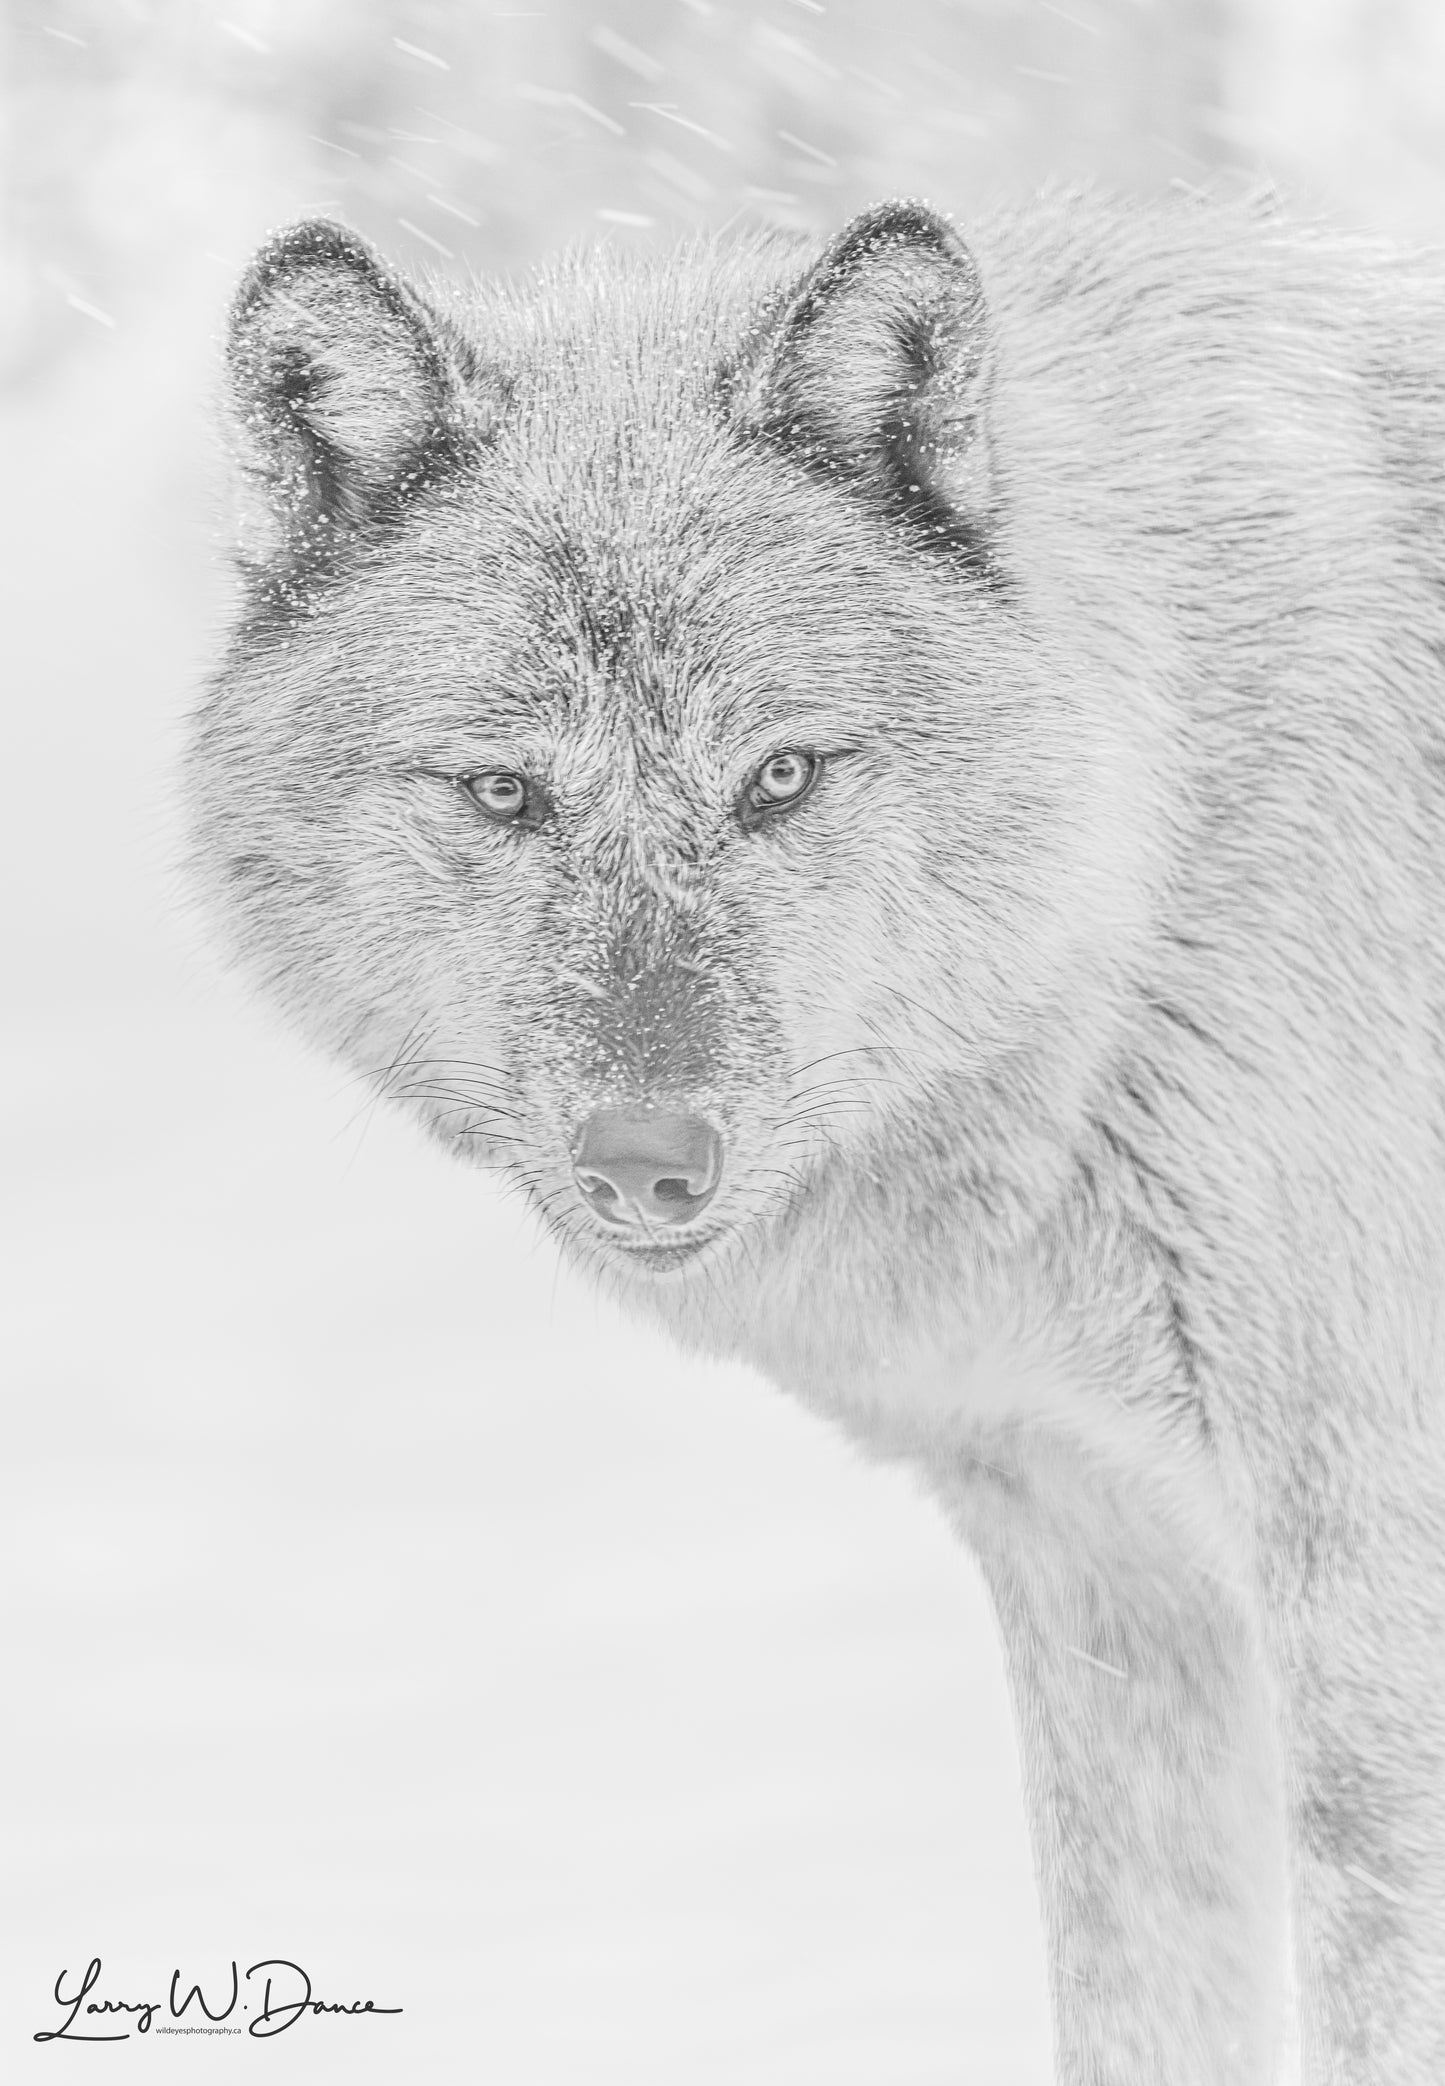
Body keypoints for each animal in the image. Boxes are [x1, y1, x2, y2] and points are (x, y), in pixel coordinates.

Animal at [187, 191, 1445, 2082]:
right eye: (505, 793)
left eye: (778, 777)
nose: (650, 1156)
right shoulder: (1101, 1567)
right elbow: (1141, 2000)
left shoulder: (1363, 1597)